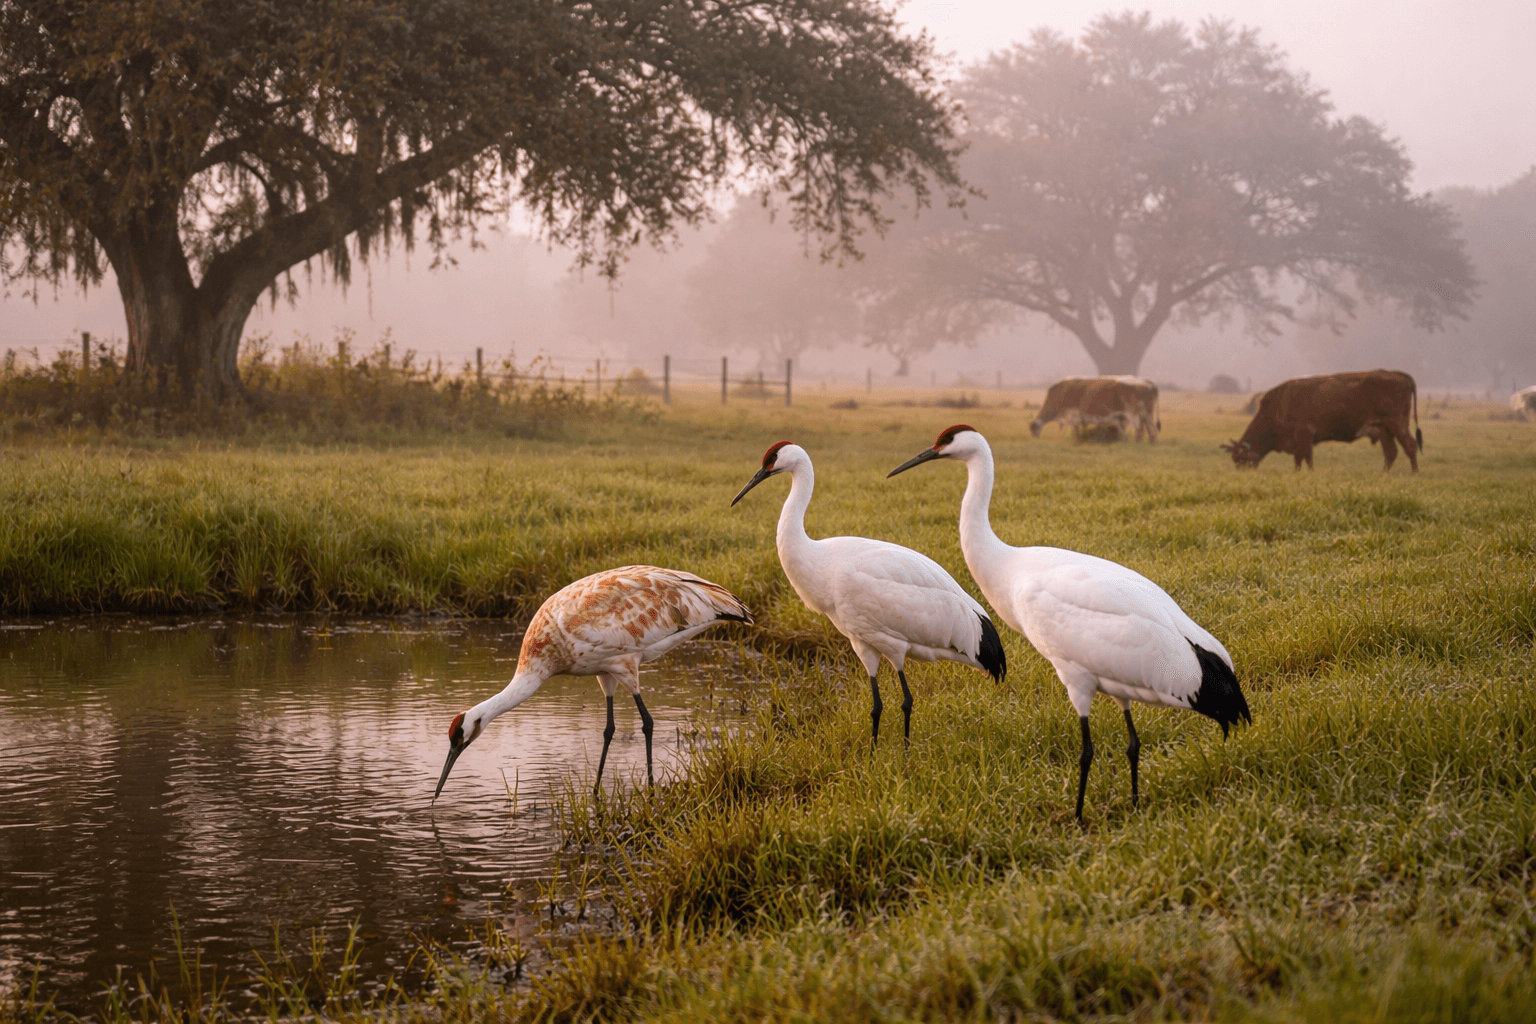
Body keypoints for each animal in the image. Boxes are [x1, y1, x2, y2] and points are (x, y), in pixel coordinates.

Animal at [1030, 376, 1161, 443]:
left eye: (1033, 430)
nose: (1035, 440)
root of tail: (1148, 382)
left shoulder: (1072, 416)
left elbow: (1075, 432)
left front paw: (1076, 442)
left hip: (1133, 414)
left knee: (1140, 430)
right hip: (1147, 414)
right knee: (1151, 429)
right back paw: (1151, 443)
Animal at [1222, 370, 1422, 473]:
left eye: (1240, 458)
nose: (1242, 474)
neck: (1279, 404)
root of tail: (1398, 374)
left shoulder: (1304, 434)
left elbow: (1303, 457)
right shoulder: (1303, 439)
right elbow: (1302, 458)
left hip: (1397, 424)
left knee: (1410, 446)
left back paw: (1414, 473)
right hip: (1384, 429)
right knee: (1391, 452)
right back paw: (1383, 474)